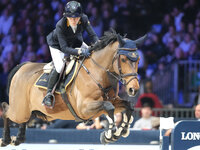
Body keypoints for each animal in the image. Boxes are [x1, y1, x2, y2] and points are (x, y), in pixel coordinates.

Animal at [0, 29, 146, 146]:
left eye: (138, 60)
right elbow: (109, 107)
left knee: (23, 120)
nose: (134, 89)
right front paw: (109, 135)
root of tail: (23, 66)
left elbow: (128, 106)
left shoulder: (112, 101)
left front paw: (122, 131)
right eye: (123, 60)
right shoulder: (84, 108)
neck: (98, 73)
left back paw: (18, 139)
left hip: (33, 112)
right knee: (6, 110)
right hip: (19, 110)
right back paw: (6, 139)